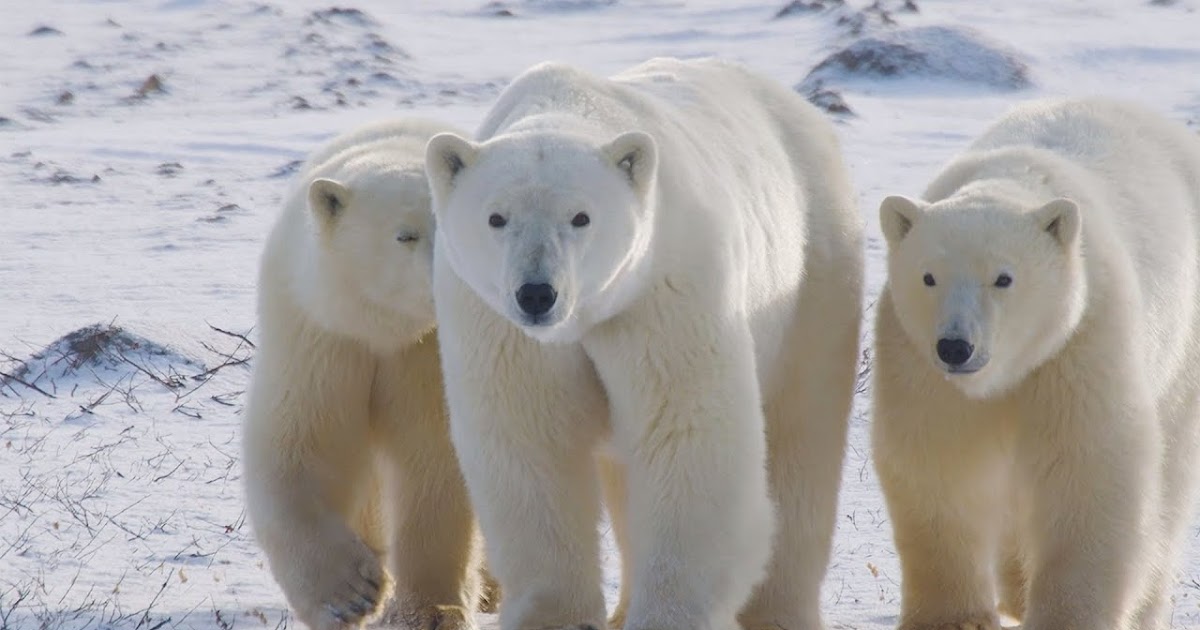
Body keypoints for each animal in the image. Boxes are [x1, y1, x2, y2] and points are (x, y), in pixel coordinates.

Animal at [241, 117, 495, 630]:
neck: (386, 328)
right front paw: (349, 594)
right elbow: (301, 444)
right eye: (406, 235)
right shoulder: (322, 335)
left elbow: (435, 458)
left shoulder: (426, 355)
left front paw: (430, 610)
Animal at [423, 57, 864, 630]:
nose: (537, 293)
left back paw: (780, 609)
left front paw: (669, 614)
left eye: (581, 217)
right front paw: (554, 614)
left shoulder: (662, 291)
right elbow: (530, 437)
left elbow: (684, 431)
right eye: (496, 217)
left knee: (802, 436)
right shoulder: (499, 325)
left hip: (813, 272)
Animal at [872, 97, 1200, 630]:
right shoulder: (919, 362)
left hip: (1184, 345)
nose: (955, 347)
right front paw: (954, 617)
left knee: (1171, 473)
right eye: (928, 277)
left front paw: (1067, 616)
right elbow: (940, 459)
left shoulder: (1079, 341)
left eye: (1003, 278)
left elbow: (1087, 465)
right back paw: (1014, 588)